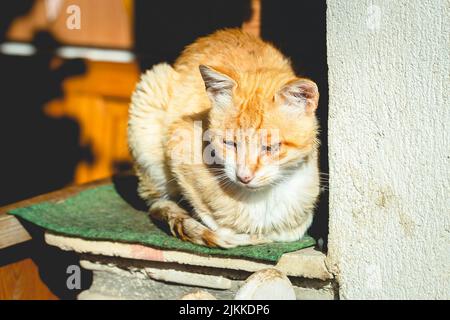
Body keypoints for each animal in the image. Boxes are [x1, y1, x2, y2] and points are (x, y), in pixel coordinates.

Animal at [128, 28, 322, 248]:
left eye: (270, 147)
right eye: (230, 143)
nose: (244, 176)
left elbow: (296, 228)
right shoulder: (178, 139)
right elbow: (207, 213)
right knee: (157, 201)